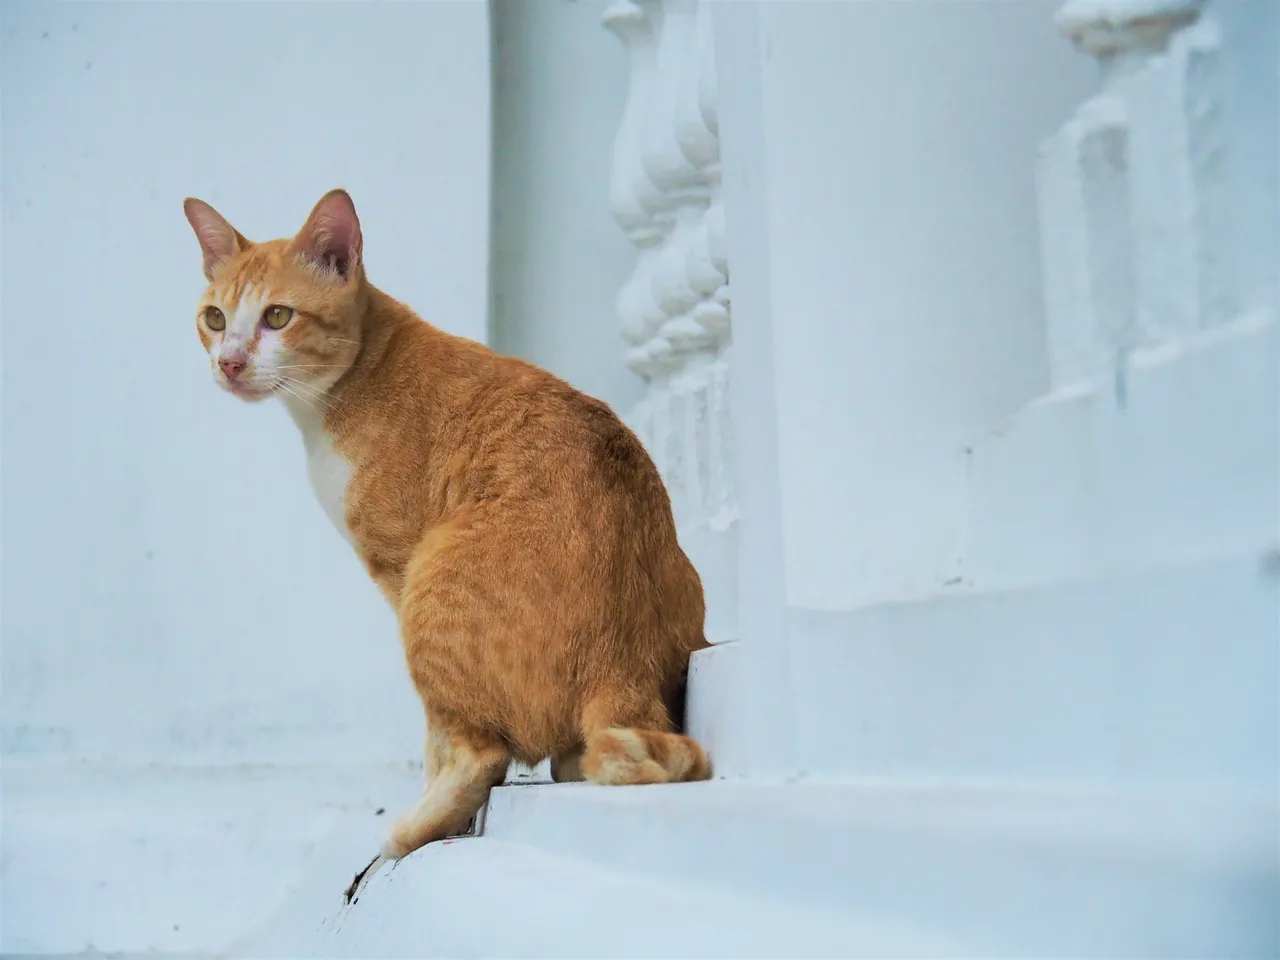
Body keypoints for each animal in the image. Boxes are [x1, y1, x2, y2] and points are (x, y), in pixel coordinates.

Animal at [183, 189, 711, 896]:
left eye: (277, 316)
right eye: (214, 318)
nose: (230, 363)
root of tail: (620, 657)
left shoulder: (398, 567)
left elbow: (435, 739)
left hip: (430, 583)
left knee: (482, 754)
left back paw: (409, 834)